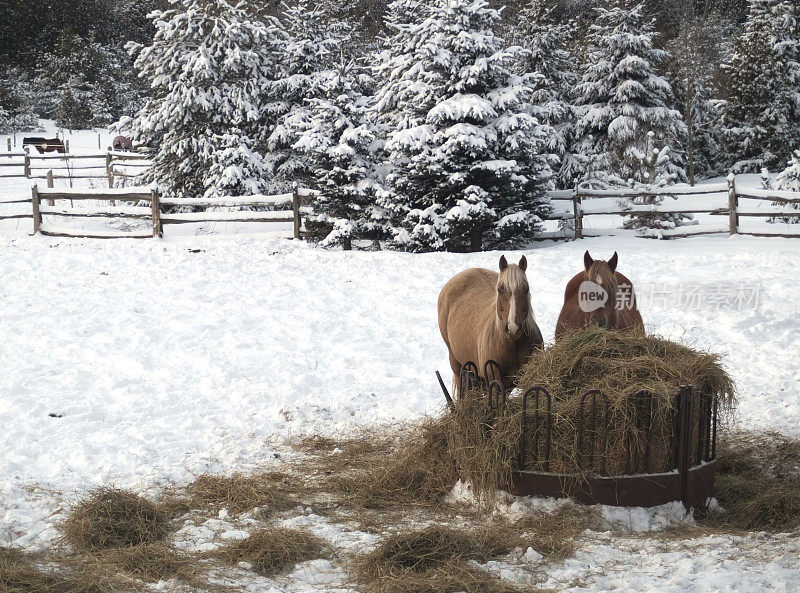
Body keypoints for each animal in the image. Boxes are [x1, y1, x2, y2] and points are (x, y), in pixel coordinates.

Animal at [438, 253, 544, 394]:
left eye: (526, 289)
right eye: (500, 290)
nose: (513, 329)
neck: (511, 344)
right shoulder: (495, 383)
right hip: (457, 366)